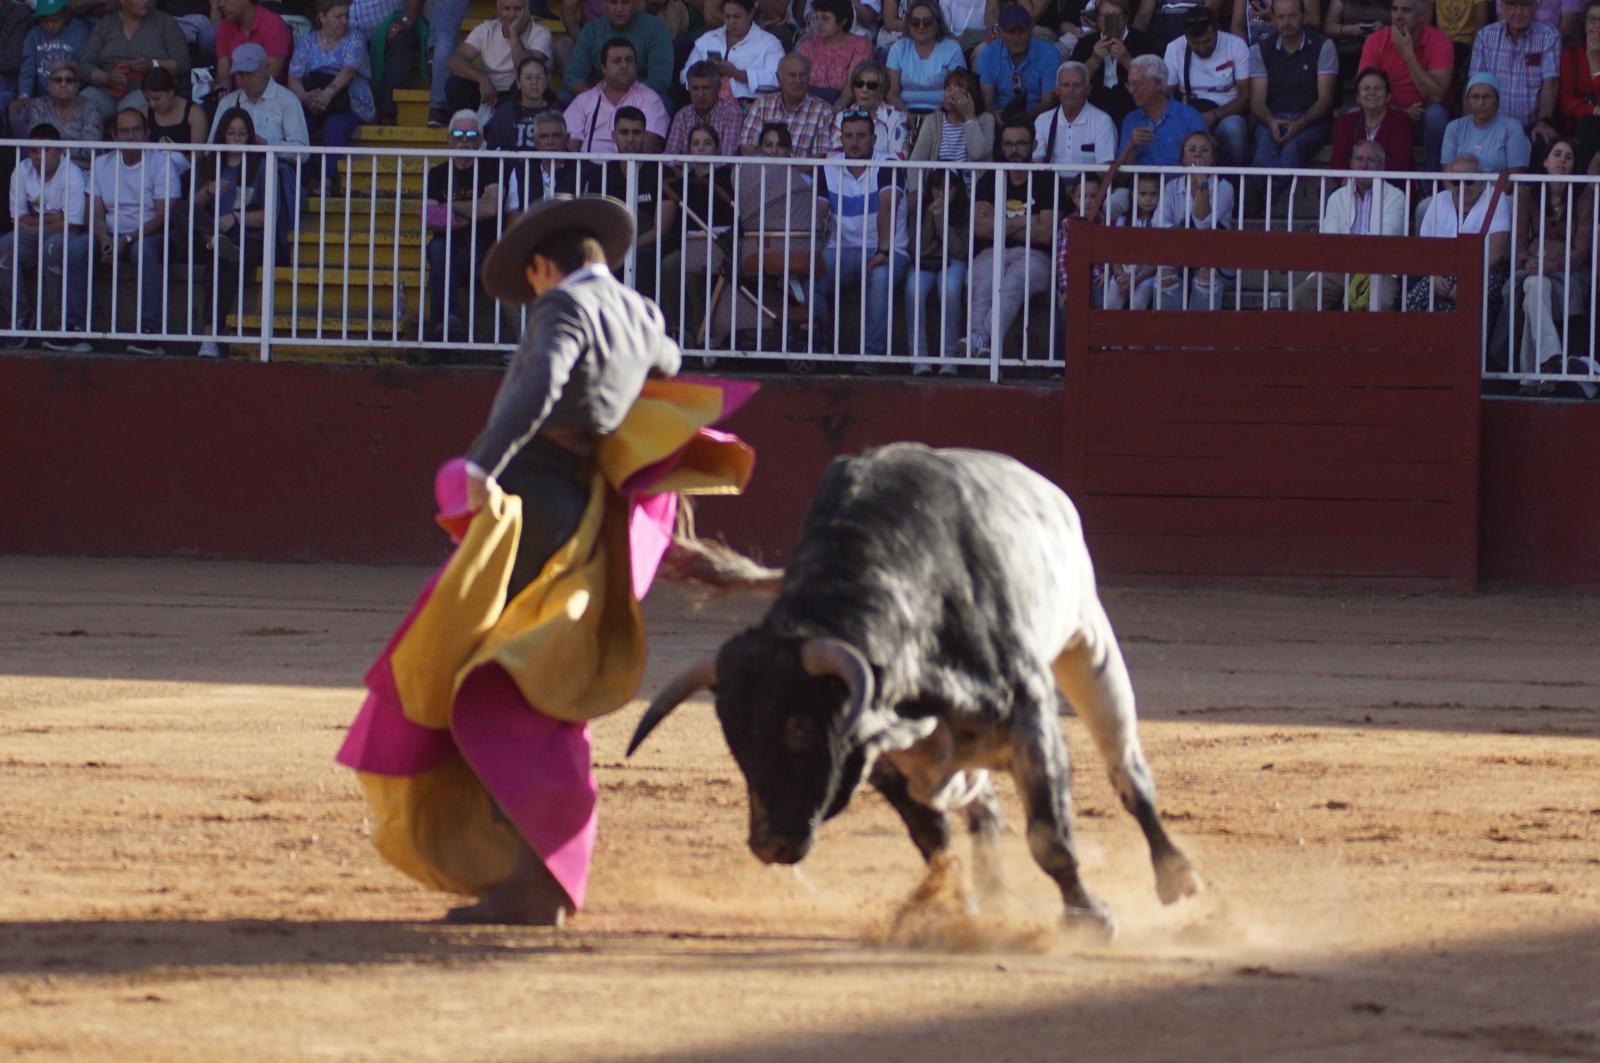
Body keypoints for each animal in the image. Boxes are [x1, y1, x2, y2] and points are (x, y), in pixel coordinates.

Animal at [630, 445, 1196, 934]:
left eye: (799, 727)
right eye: (735, 740)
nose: (768, 844)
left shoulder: (1031, 717)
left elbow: (1049, 834)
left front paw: (1088, 917)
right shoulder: (884, 762)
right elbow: (935, 842)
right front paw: (950, 909)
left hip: (1089, 644)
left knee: (1128, 772)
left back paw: (1176, 875)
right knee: (985, 811)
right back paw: (996, 897)